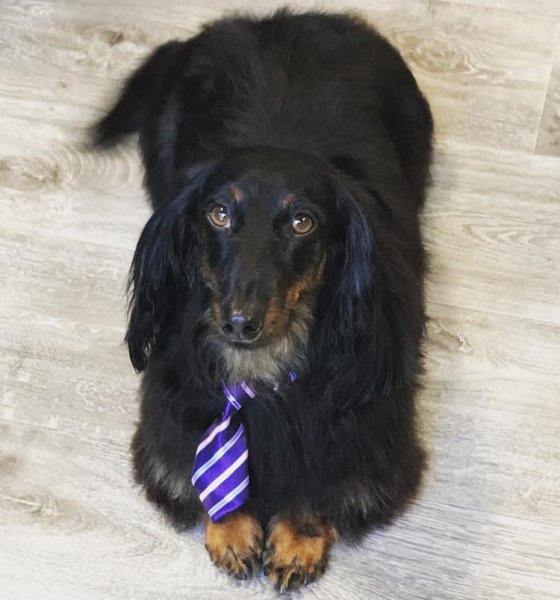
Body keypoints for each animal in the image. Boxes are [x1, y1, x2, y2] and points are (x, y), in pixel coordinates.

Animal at [93, 9, 433, 592]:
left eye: (302, 222)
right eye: (218, 213)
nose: (239, 323)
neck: (260, 369)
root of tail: (279, 19)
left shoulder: (362, 429)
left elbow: (318, 470)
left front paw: (298, 537)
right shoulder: (170, 418)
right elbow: (201, 470)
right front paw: (230, 528)